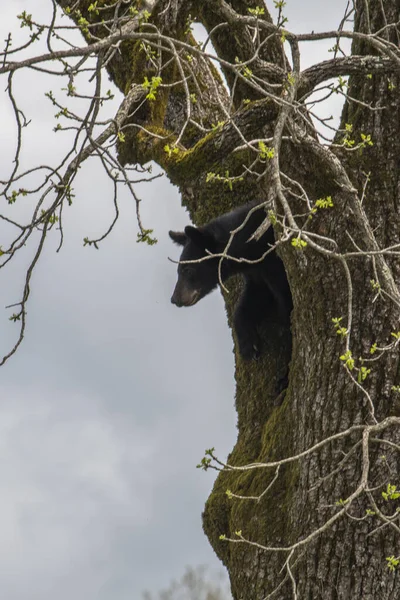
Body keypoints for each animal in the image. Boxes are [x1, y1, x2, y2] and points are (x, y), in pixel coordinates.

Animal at [170, 202, 294, 360]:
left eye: (188, 270)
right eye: (178, 270)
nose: (174, 299)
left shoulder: (273, 261)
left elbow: (284, 292)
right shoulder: (256, 272)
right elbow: (255, 296)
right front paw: (248, 345)